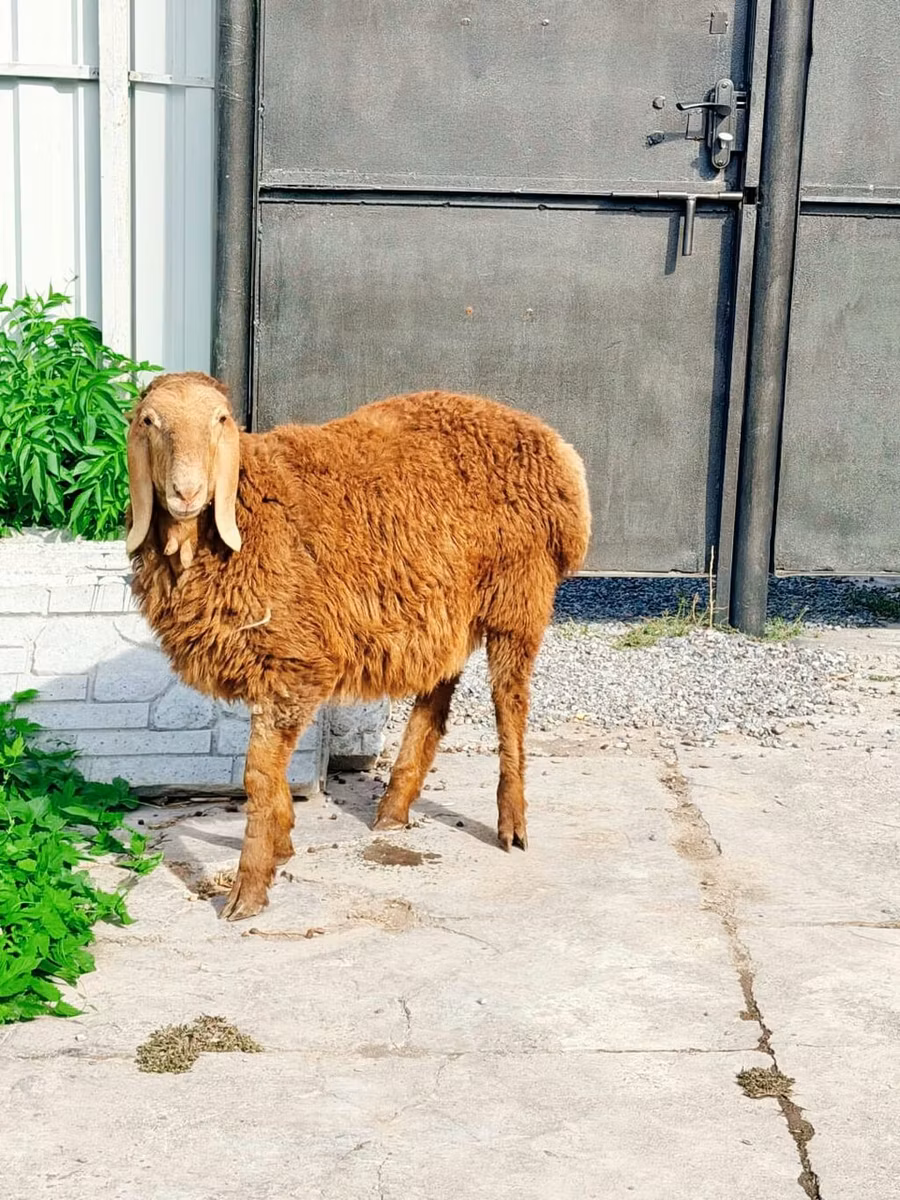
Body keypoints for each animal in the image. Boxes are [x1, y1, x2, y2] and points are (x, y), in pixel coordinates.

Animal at [126, 371, 591, 919]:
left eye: (221, 420)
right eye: (149, 421)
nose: (187, 491)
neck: (247, 513)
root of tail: (551, 443)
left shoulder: (295, 663)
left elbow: (257, 776)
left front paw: (249, 891)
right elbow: (269, 775)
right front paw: (283, 843)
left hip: (520, 592)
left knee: (510, 704)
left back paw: (511, 824)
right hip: (444, 608)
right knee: (435, 698)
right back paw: (393, 808)